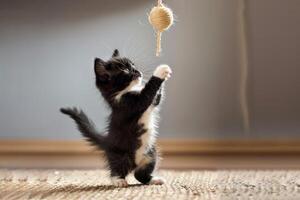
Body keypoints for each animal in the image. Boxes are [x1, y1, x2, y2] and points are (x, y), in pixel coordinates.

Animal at [60, 49, 171, 187]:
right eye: (126, 70)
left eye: (133, 65)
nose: (138, 71)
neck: (124, 92)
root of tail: (107, 141)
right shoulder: (129, 104)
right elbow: (148, 92)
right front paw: (160, 70)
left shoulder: (150, 102)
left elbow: (157, 97)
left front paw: (164, 73)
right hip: (120, 155)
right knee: (116, 169)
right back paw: (118, 180)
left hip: (150, 153)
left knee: (139, 174)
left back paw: (153, 179)